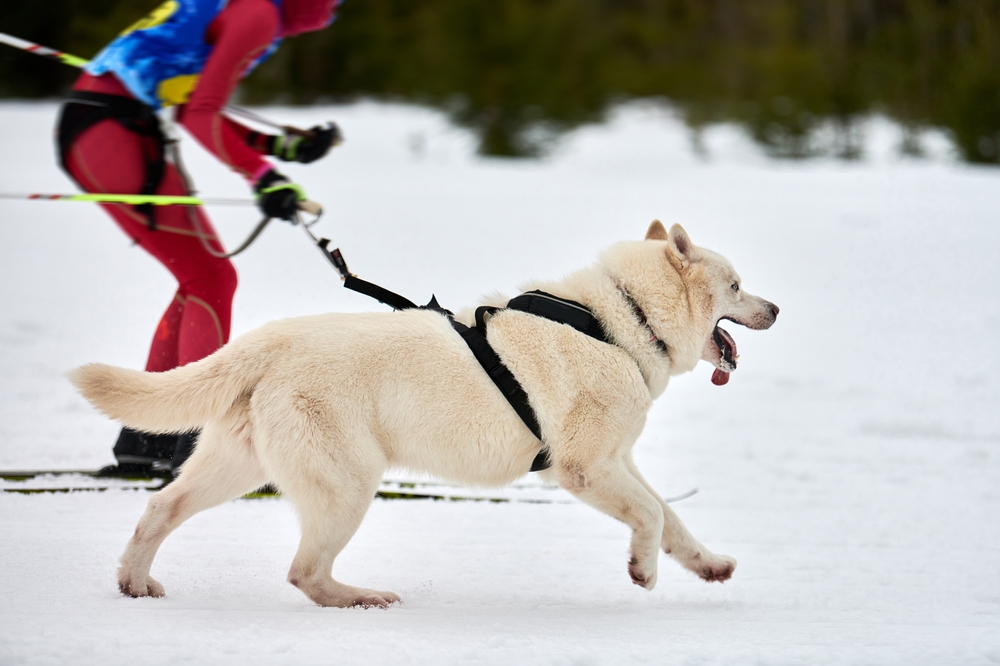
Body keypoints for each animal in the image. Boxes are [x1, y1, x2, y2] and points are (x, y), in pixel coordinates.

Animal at [74, 220, 784, 604]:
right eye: (737, 285)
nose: (776, 309)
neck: (619, 321)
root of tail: (265, 340)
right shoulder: (586, 468)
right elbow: (649, 517)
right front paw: (644, 570)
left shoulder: (618, 461)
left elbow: (670, 518)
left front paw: (708, 565)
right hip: (348, 483)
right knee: (304, 571)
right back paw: (360, 598)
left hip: (241, 465)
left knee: (161, 509)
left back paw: (134, 582)